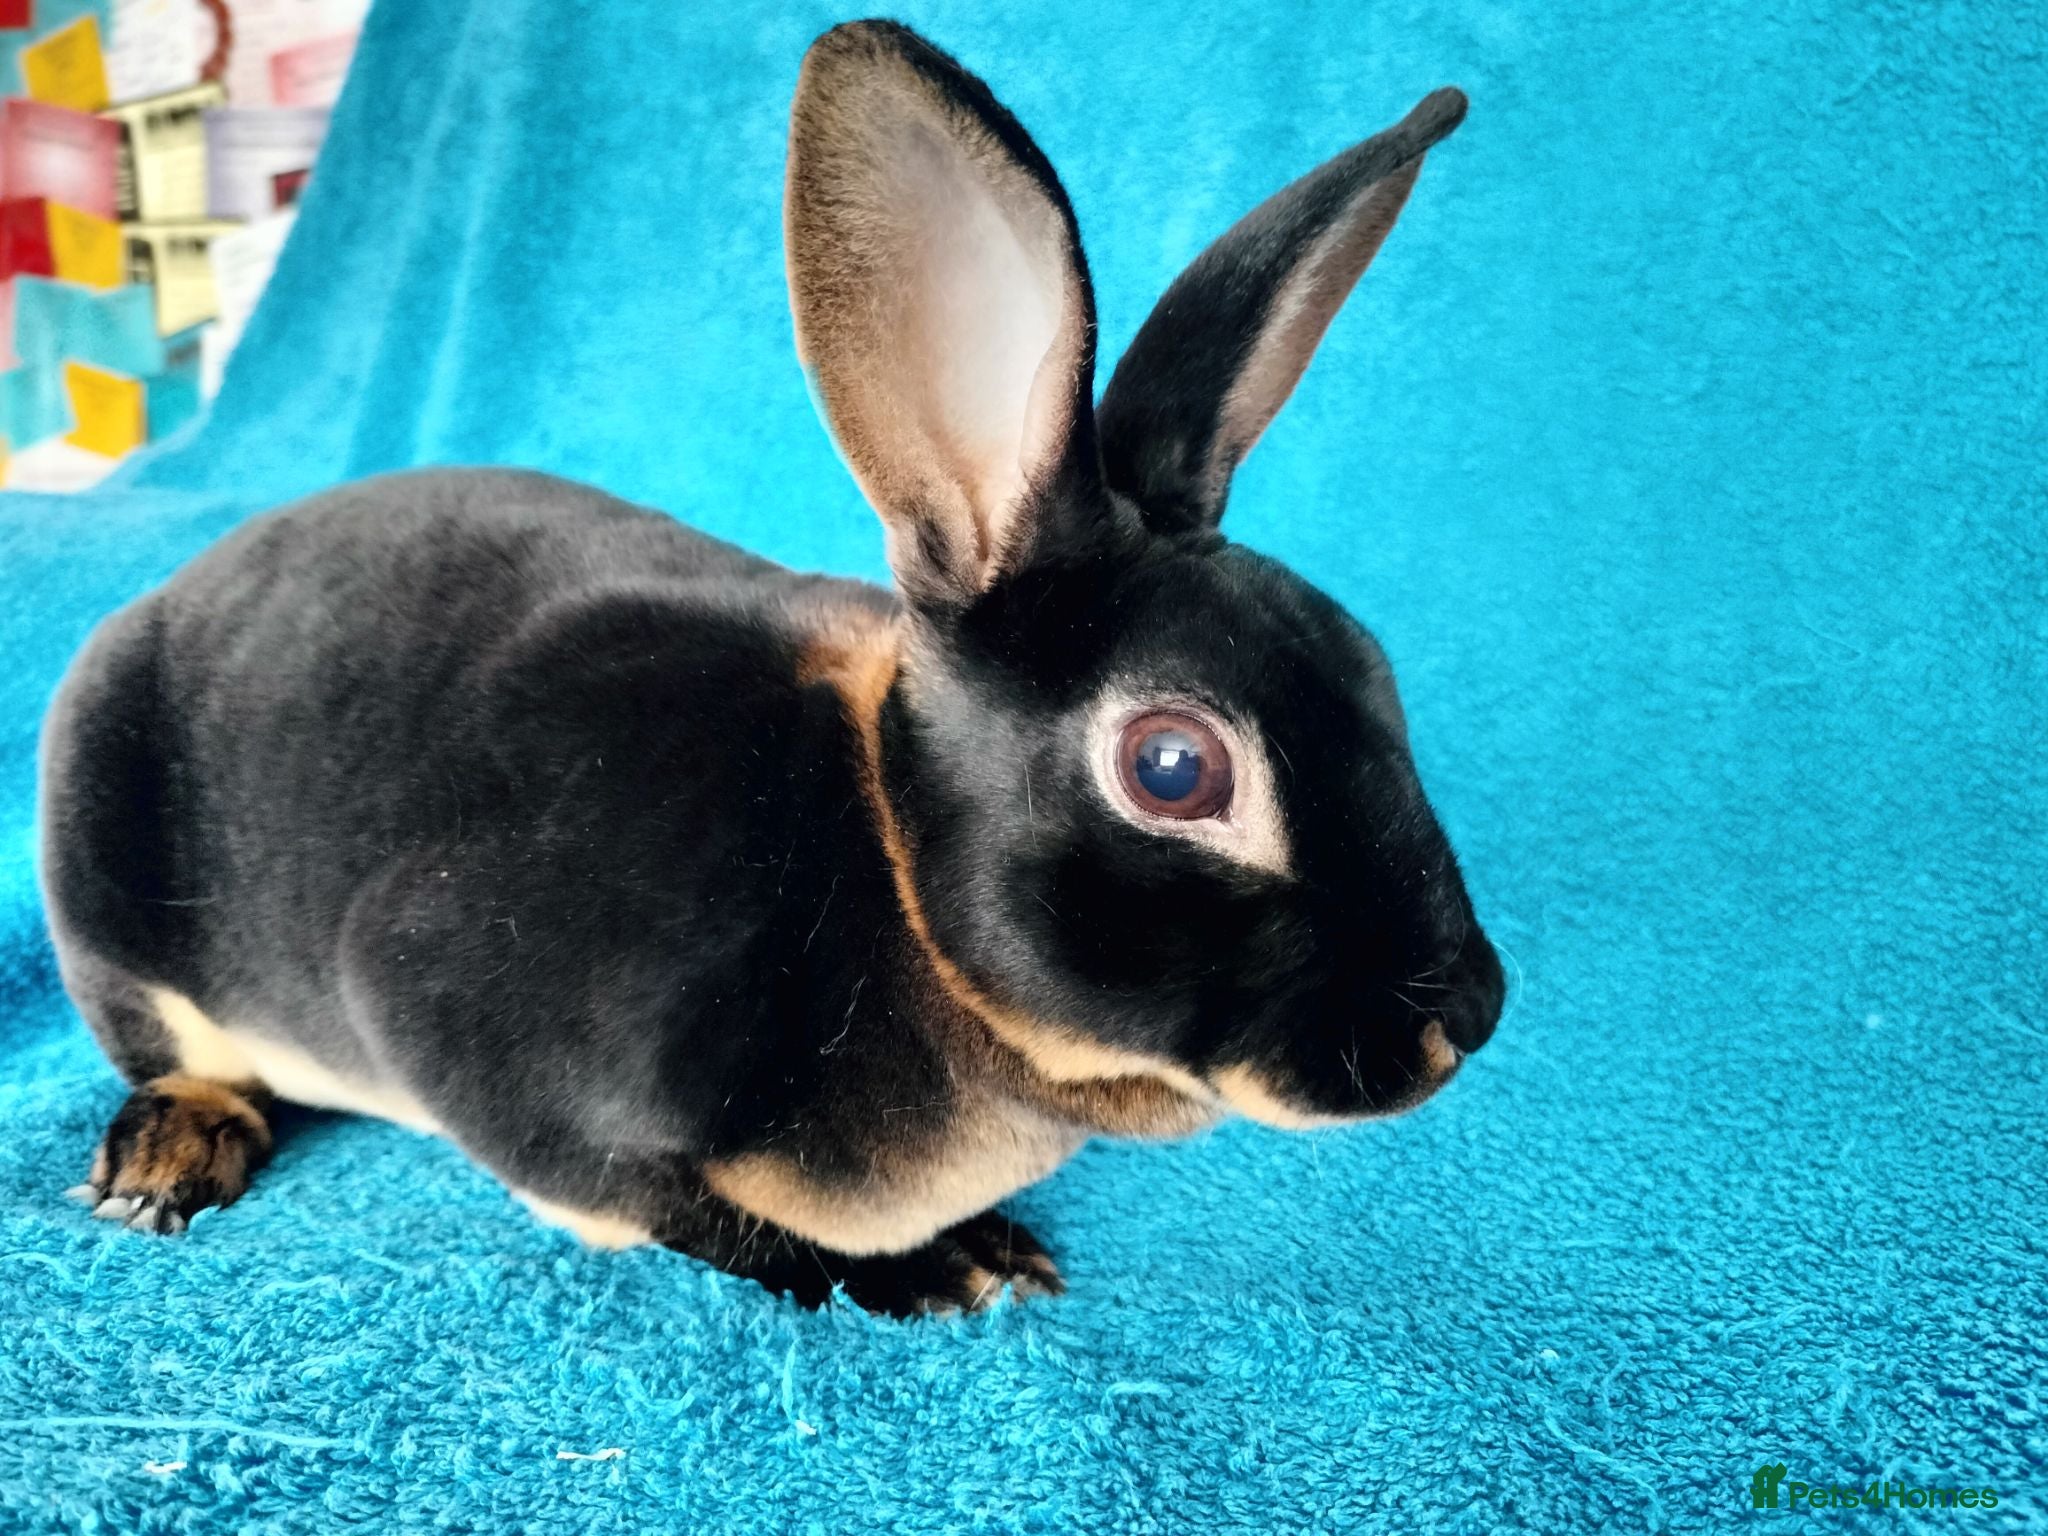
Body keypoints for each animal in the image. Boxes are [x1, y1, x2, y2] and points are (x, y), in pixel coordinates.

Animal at [38, 20, 1503, 1315]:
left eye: (1368, 658)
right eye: (1174, 768)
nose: (1471, 1014)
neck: (888, 874)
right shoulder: (466, 1030)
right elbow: (686, 1213)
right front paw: (948, 1270)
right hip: (111, 894)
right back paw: (164, 1165)